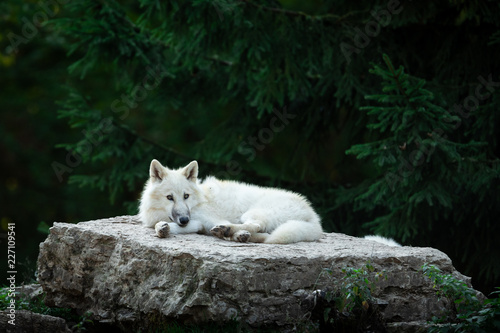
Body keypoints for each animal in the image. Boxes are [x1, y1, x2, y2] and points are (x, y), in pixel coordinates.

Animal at [139, 160, 322, 243]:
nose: (184, 219)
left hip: (251, 213)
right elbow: (165, 227)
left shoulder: (209, 219)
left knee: (257, 227)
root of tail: (313, 216)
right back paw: (237, 235)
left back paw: (228, 231)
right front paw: (163, 229)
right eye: (169, 197)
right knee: (262, 234)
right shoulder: (198, 224)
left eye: (186, 196)